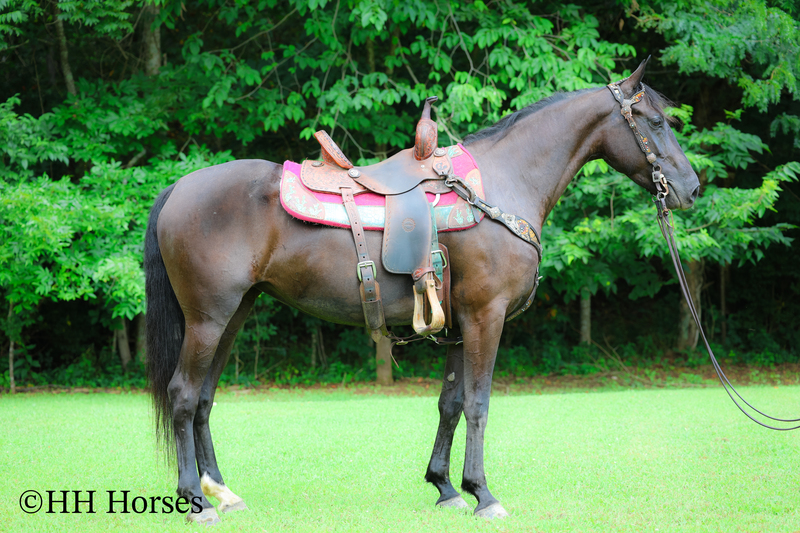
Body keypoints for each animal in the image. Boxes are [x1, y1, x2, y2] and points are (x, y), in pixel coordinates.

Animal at [144, 59, 700, 524]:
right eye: (655, 122)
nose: (691, 188)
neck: (499, 186)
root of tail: (179, 188)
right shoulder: (485, 317)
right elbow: (478, 402)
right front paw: (484, 494)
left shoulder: (458, 324)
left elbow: (450, 403)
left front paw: (447, 487)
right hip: (208, 319)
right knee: (183, 395)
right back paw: (196, 501)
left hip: (234, 314)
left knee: (205, 399)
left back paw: (222, 492)